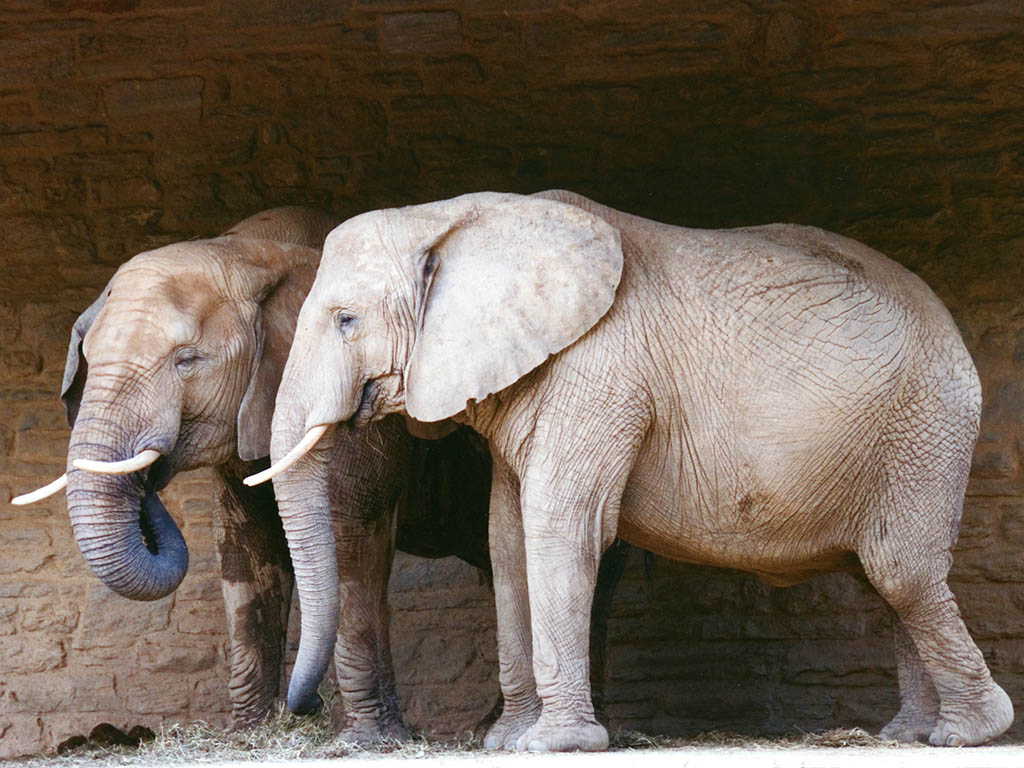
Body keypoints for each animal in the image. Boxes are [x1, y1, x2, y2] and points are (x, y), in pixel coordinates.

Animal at [13, 205, 628, 741]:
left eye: (186, 360)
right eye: (89, 357)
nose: (304, 707)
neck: (249, 249)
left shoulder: (364, 403)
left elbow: (351, 534)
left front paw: (367, 739)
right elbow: (245, 549)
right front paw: (249, 736)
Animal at [252, 189, 1014, 752]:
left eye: (346, 320)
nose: (304, 707)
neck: (455, 219)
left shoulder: (599, 372)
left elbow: (562, 528)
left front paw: (552, 745)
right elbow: (508, 538)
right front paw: (506, 742)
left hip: (924, 431)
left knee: (900, 571)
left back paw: (971, 732)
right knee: (886, 579)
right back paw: (910, 734)